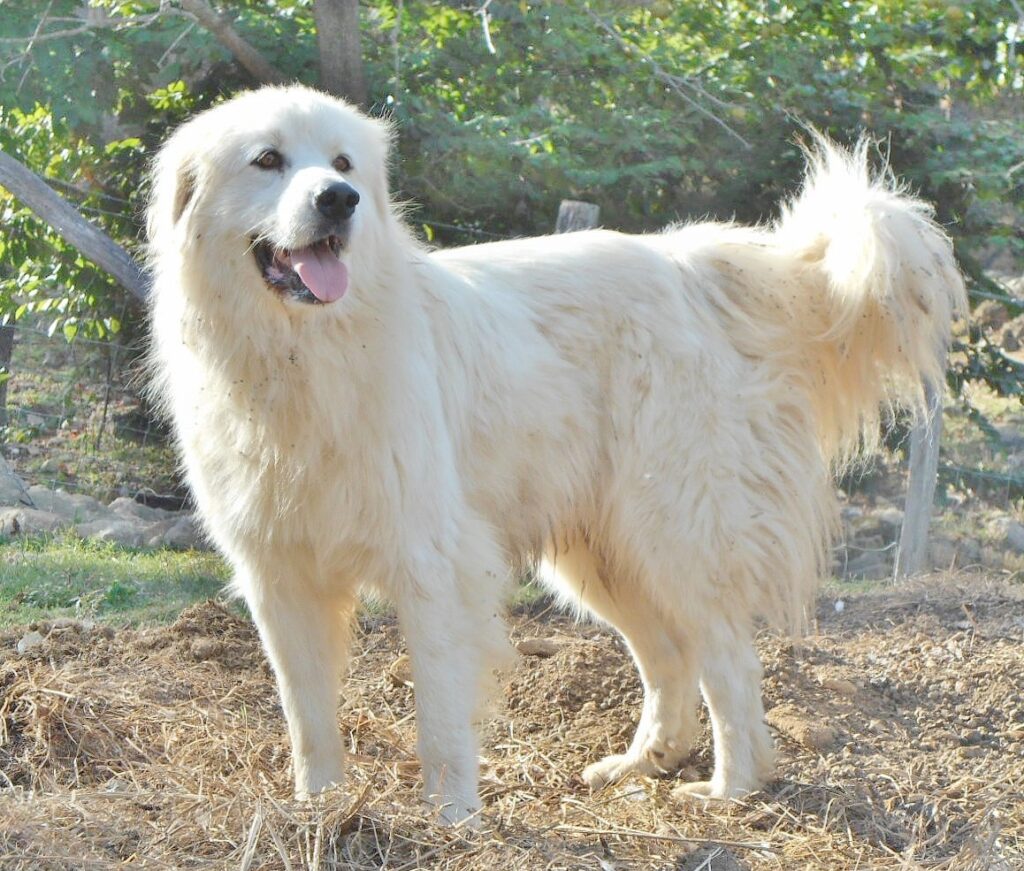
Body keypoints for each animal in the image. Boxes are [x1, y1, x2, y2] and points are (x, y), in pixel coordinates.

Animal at [148, 84, 962, 822]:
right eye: (268, 160)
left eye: (344, 162)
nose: (340, 199)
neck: (304, 357)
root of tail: (695, 266)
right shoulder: (278, 577)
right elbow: (307, 717)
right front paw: (317, 807)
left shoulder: (433, 565)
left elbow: (439, 717)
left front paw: (453, 820)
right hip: (605, 554)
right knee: (670, 659)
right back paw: (643, 763)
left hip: (674, 530)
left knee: (729, 658)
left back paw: (731, 787)